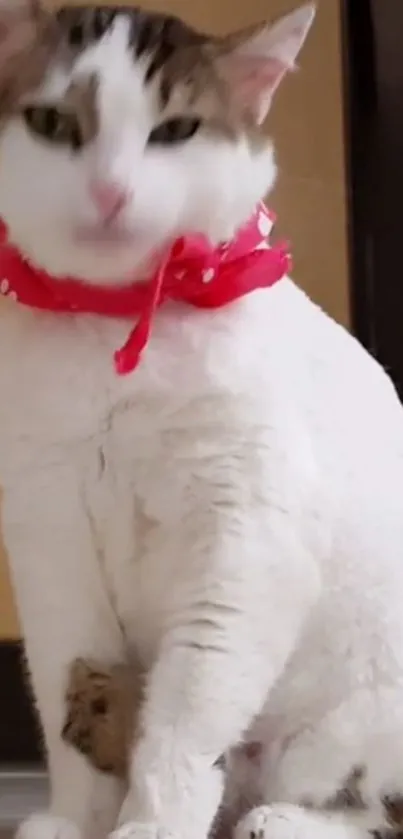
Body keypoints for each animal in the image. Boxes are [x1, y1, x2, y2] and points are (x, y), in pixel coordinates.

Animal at [0, 4, 403, 839]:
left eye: (175, 130)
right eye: (55, 123)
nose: (110, 192)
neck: (116, 326)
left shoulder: (242, 542)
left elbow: (187, 712)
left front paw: (150, 825)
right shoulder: (49, 531)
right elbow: (66, 688)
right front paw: (79, 818)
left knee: (375, 807)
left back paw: (279, 820)